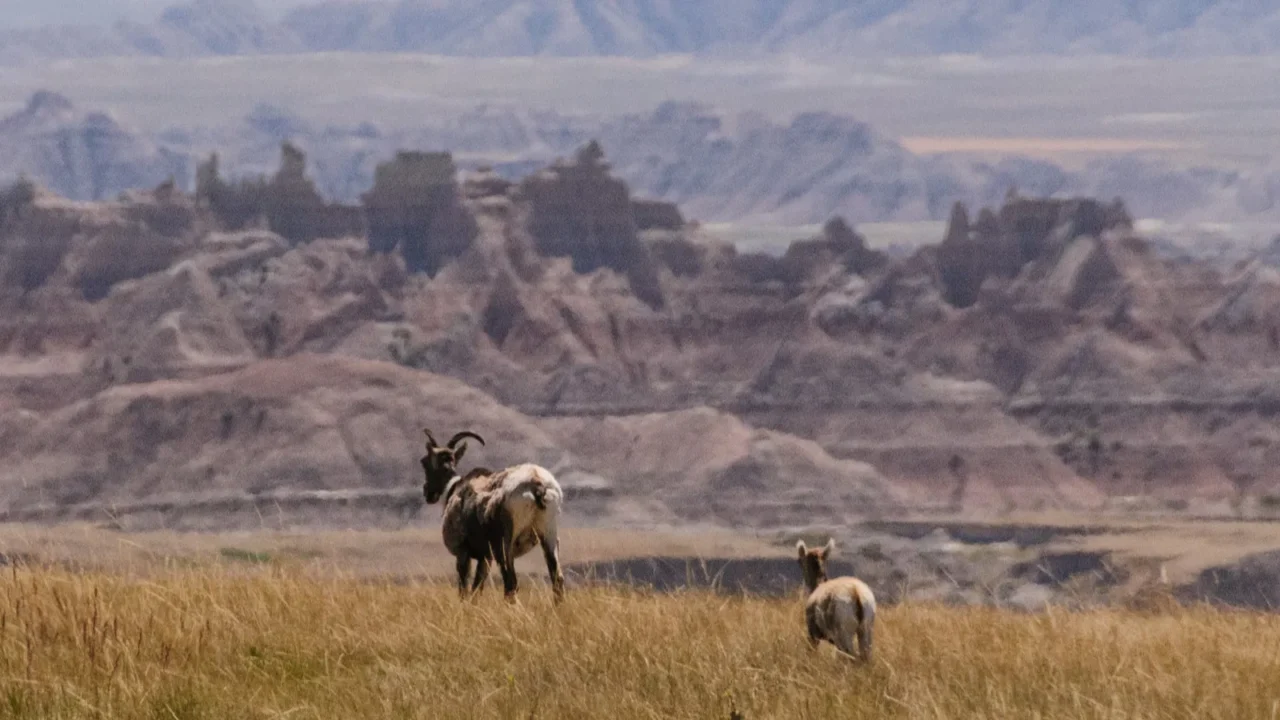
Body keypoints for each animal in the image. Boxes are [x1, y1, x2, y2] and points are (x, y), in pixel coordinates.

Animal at [420, 428, 565, 603]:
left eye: (424, 462)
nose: (428, 493)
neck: (455, 489)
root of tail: (536, 484)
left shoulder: (463, 552)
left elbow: (464, 588)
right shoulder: (485, 558)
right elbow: (476, 588)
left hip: (503, 546)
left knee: (510, 582)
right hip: (549, 534)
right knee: (557, 578)